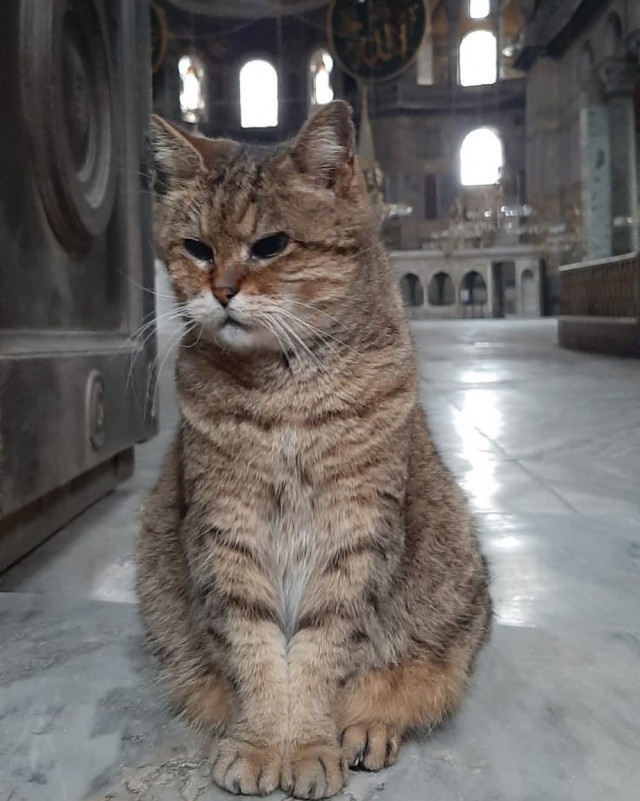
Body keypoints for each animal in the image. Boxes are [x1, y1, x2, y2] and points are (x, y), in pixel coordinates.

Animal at [138, 101, 492, 800]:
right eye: (196, 248)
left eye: (270, 245)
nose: (221, 291)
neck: (284, 394)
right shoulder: (225, 525)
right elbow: (252, 647)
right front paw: (260, 742)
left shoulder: (356, 528)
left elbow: (323, 651)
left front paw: (304, 744)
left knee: (411, 679)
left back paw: (368, 727)